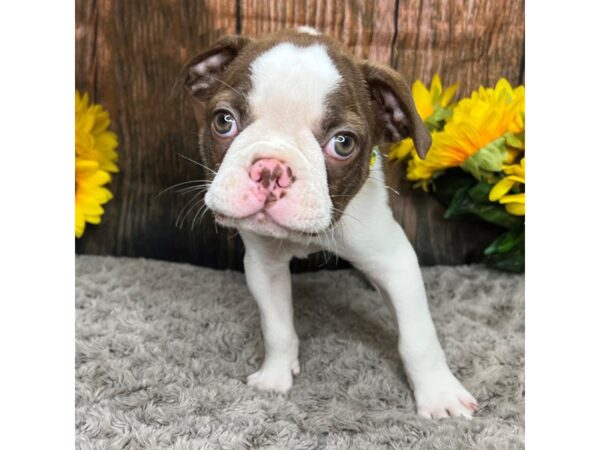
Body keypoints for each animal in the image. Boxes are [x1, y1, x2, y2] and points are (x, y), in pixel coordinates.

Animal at [179, 27, 478, 418]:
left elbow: (418, 337)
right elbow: (277, 327)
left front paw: (440, 395)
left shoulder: (395, 261)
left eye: (343, 143)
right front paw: (275, 378)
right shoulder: (264, 266)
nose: (271, 168)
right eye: (223, 121)